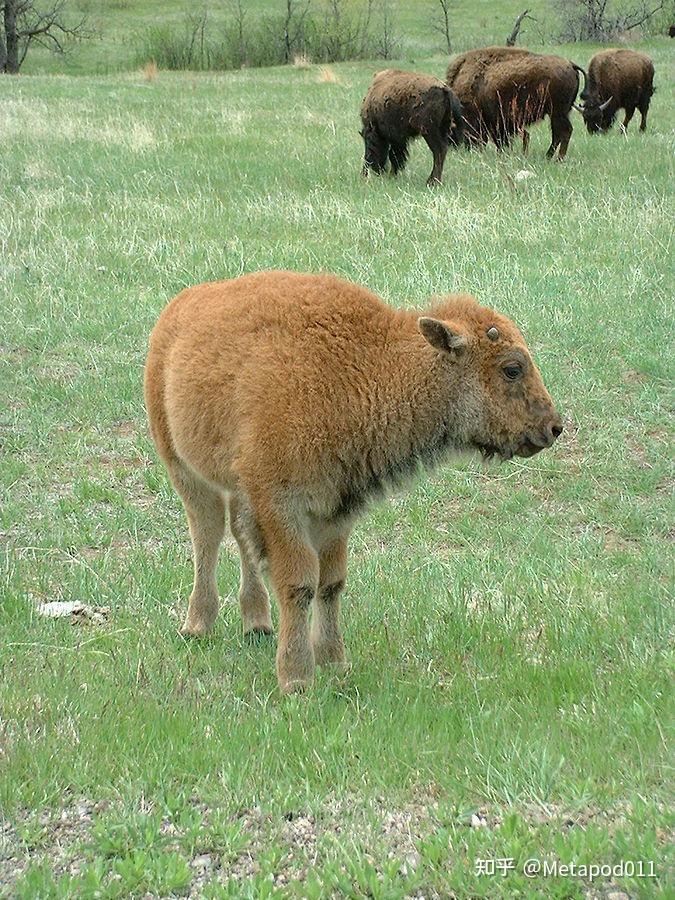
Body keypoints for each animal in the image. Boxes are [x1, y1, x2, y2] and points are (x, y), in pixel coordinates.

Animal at [145, 270, 564, 692]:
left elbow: (331, 583)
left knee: (238, 535)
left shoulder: (335, 509)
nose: (554, 427)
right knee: (208, 533)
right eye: (512, 368)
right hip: (182, 467)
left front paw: (334, 662)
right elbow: (299, 582)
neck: (364, 366)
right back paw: (197, 625)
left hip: (236, 485)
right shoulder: (281, 503)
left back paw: (257, 624)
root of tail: (176, 311)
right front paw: (296, 677)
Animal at [448, 46, 588, 159]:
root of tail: (570, 64)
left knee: (563, 131)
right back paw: (549, 157)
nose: (452, 146)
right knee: (559, 133)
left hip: (557, 112)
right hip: (560, 112)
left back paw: (557, 158)